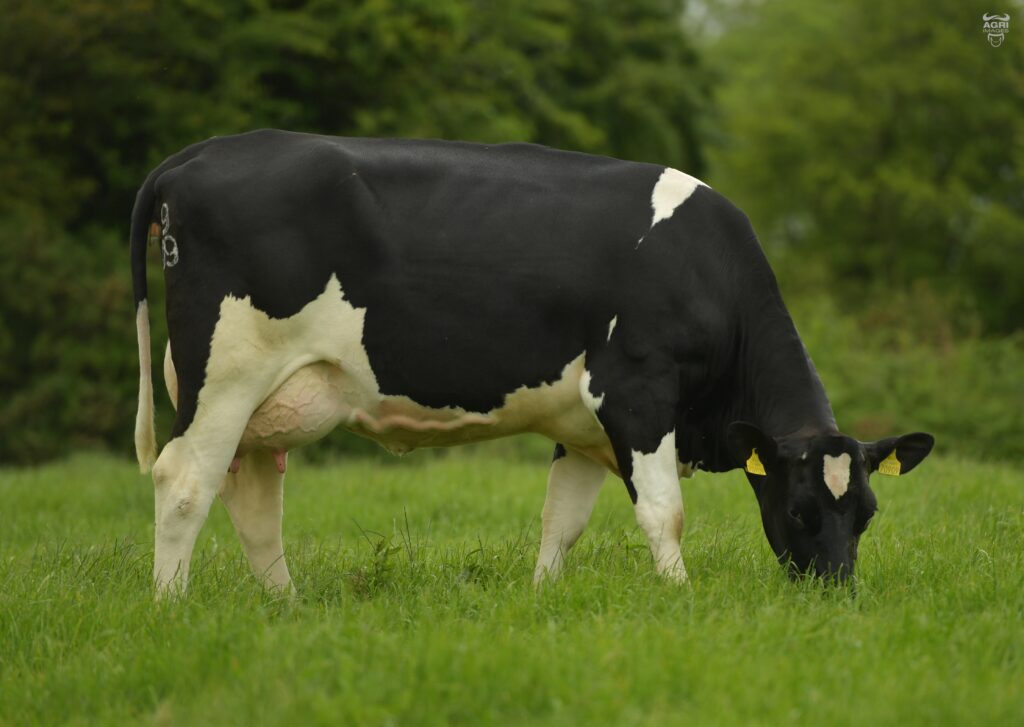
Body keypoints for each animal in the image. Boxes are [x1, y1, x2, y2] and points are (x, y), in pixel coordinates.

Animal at [131, 129, 934, 595]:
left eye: (866, 512)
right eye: (799, 510)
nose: (836, 595)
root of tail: (196, 154)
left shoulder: (581, 423)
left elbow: (562, 521)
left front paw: (544, 600)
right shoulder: (636, 390)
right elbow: (665, 513)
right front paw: (681, 600)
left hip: (267, 397)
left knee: (253, 497)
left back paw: (285, 606)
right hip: (226, 372)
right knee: (184, 482)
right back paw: (172, 606)